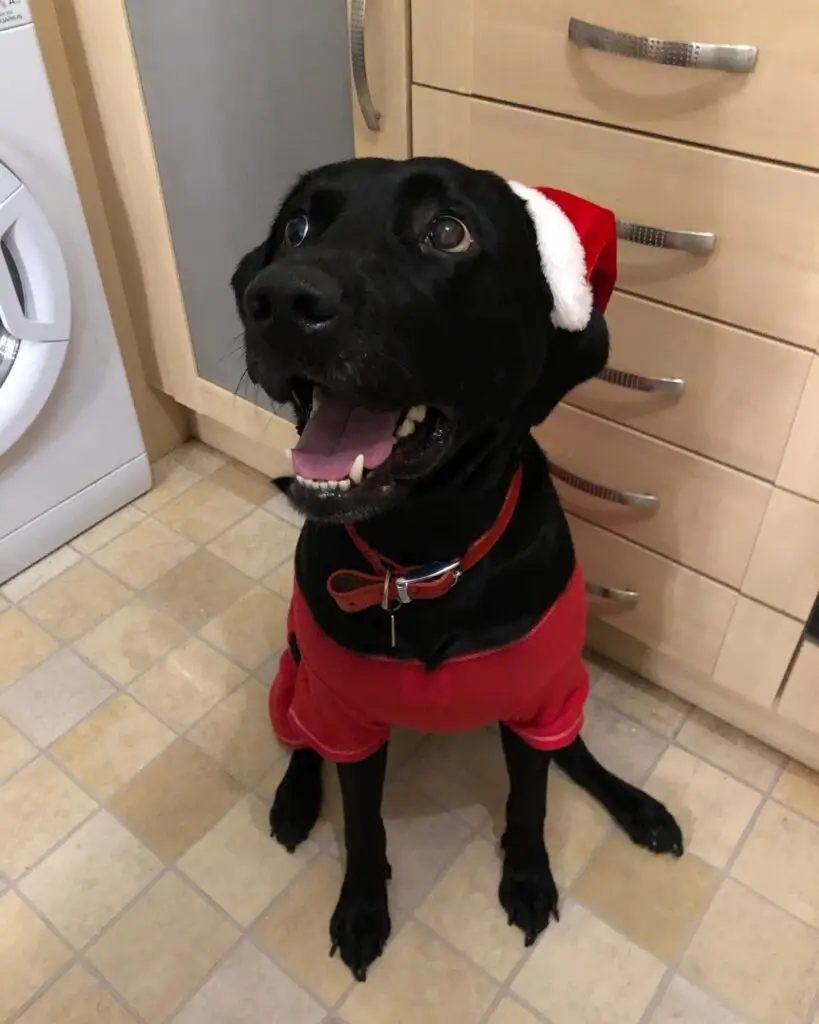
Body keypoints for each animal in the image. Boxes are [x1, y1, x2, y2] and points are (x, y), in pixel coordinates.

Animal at [228, 155, 679, 978]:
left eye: (448, 231)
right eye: (297, 227)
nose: (277, 300)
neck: (421, 556)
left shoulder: (537, 694)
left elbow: (530, 800)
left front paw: (527, 880)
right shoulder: (347, 712)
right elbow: (363, 821)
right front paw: (362, 909)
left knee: (572, 752)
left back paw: (636, 806)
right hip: (301, 659)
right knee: (299, 732)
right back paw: (295, 800)